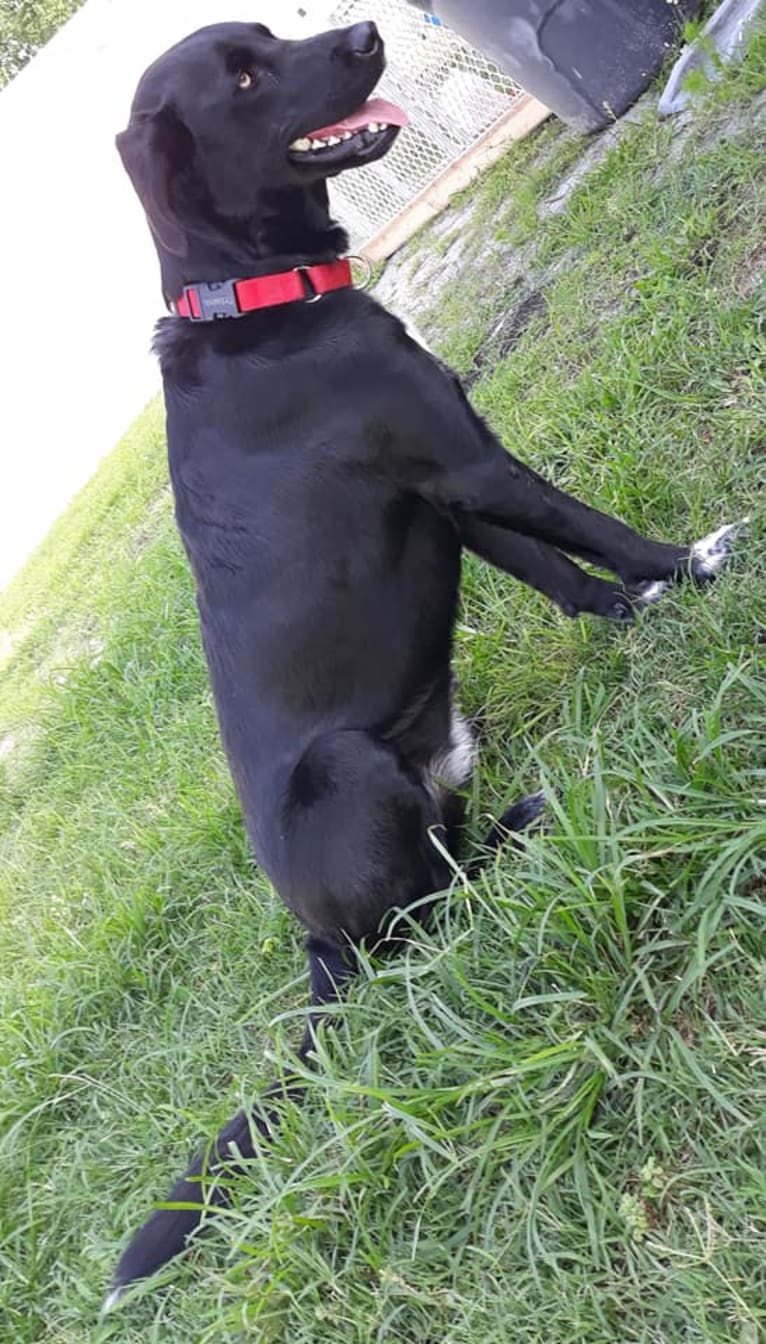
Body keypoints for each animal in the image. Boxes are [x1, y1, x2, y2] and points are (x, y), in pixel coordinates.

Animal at [110, 18, 736, 1300]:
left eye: (266, 38)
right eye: (242, 75)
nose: (364, 32)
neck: (251, 308)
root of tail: (314, 947)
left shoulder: (454, 497)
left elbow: (568, 575)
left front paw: (649, 608)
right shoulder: (469, 464)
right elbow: (596, 528)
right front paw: (699, 566)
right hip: (350, 768)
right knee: (429, 914)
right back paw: (523, 825)